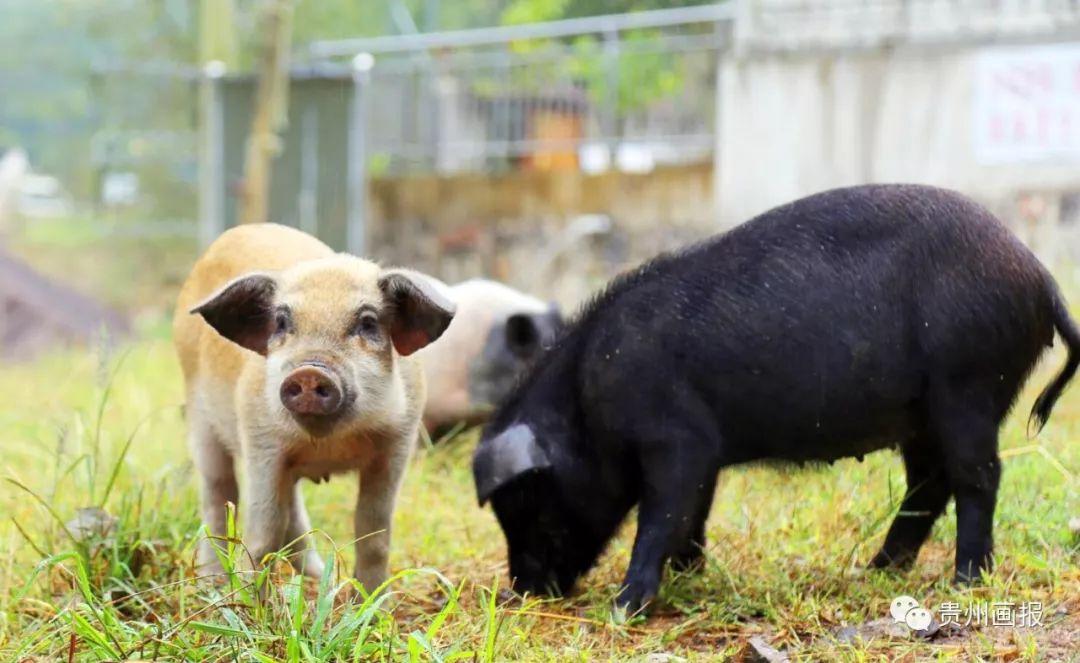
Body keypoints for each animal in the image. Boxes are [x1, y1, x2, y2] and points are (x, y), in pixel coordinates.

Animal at [174, 225, 453, 591]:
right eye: (281, 322)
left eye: (368, 323)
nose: (309, 372)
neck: (329, 445)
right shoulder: (260, 440)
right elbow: (263, 533)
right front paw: (250, 603)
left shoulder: (398, 443)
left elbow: (374, 532)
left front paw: (372, 600)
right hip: (199, 423)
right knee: (217, 496)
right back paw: (212, 585)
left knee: (292, 515)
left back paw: (323, 581)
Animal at [473, 184, 1080, 617]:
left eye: (533, 501)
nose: (524, 590)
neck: (585, 401)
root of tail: (1039, 276)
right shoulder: (705, 454)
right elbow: (692, 513)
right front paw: (692, 576)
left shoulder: (676, 439)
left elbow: (663, 515)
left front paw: (624, 610)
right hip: (926, 413)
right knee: (928, 485)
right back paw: (876, 571)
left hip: (968, 385)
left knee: (978, 477)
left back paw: (965, 581)